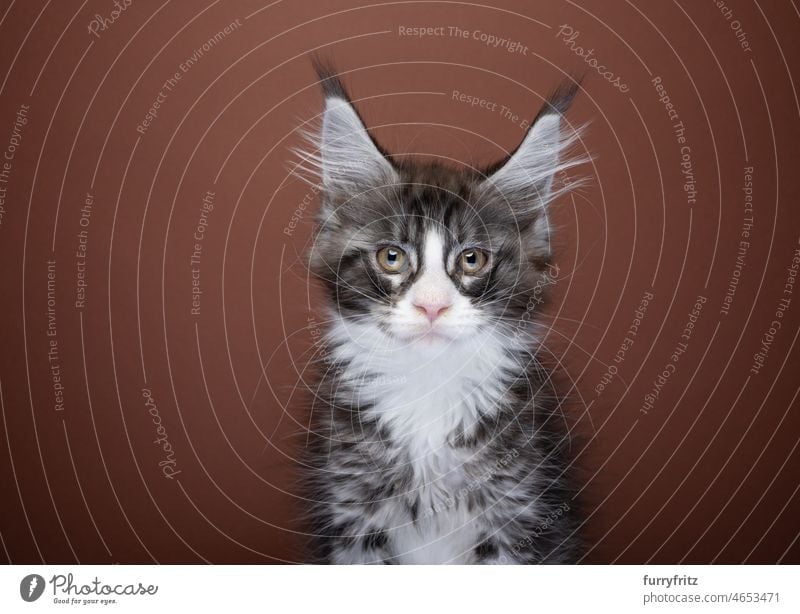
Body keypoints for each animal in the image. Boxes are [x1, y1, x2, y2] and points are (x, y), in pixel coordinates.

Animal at [296, 62, 584, 568]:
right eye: (392, 257)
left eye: (472, 259)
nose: (433, 304)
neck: (427, 387)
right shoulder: (353, 516)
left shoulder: (518, 514)